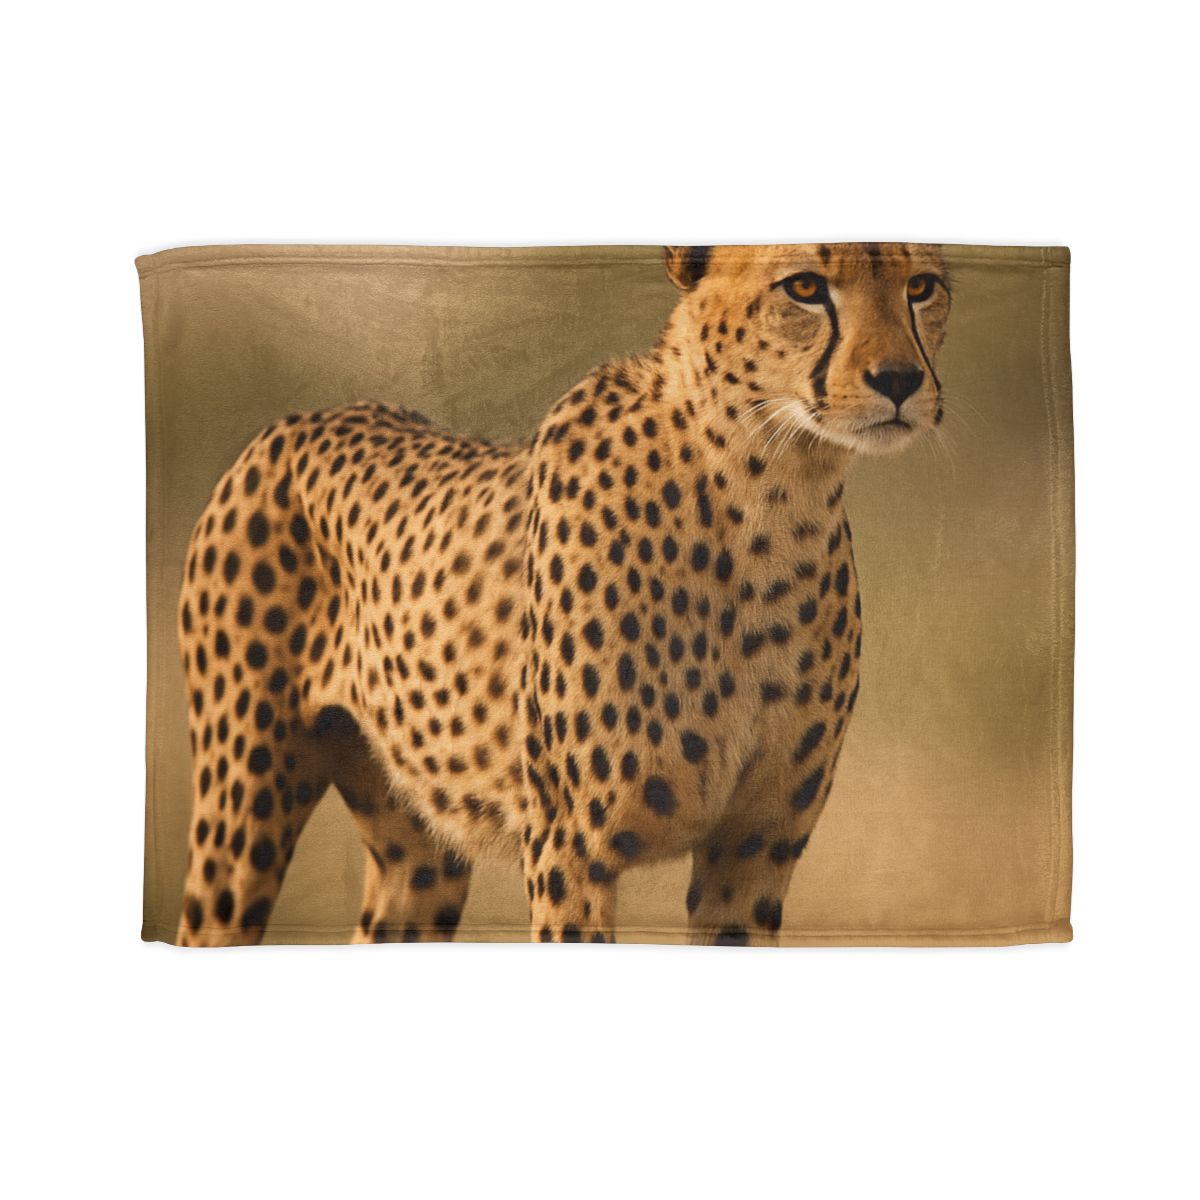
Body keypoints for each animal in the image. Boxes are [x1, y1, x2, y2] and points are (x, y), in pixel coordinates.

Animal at [174, 242, 951, 946]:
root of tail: (299, 419)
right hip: (243, 808)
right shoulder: (570, 846)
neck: (772, 492)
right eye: (804, 286)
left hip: (419, 848)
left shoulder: (753, 849)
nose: (900, 380)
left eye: (921, 286)